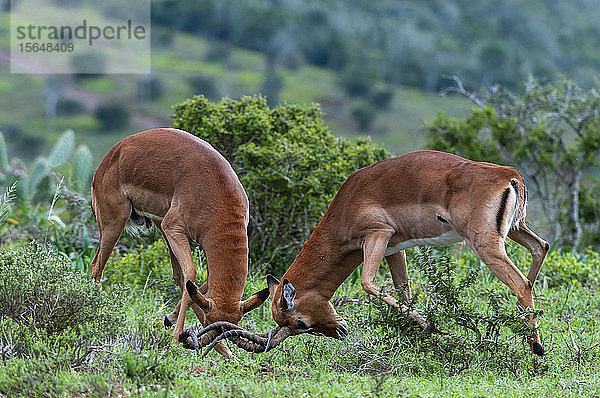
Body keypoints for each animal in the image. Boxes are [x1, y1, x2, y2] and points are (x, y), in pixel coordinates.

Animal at [91, 129, 270, 356]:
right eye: (210, 323)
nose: (217, 341)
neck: (218, 193)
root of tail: (110, 157)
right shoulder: (174, 227)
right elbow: (192, 273)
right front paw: (176, 337)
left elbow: (199, 283)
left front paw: (170, 319)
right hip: (116, 223)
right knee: (96, 266)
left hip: (159, 226)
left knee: (178, 276)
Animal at [188, 151, 548, 356]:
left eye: (300, 322)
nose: (340, 330)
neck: (349, 201)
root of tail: (509, 175)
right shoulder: (394, 248)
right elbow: (403, 291)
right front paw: (418, 331)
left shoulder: (376, 236)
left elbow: (368, 284)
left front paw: (430, 327)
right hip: (515, 230)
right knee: (540, 250)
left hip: (484, 243)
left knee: (520, 282)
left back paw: (537, 347)